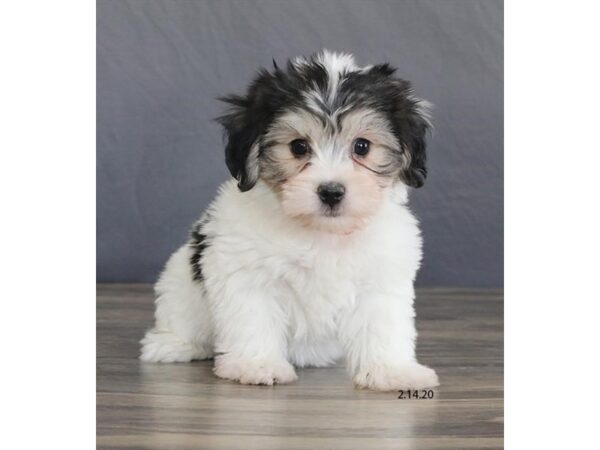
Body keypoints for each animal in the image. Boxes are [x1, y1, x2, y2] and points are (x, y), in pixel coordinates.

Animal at [141, 50, 440, 390]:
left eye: (362, 146)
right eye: (298, 146)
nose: (331, 191)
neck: (320, 231)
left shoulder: (380, 277)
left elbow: (382, 324)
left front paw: (392, 371)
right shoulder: (247, 273)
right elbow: (253, 318)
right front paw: (256, 365)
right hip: (180, 282)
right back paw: (173, 344)